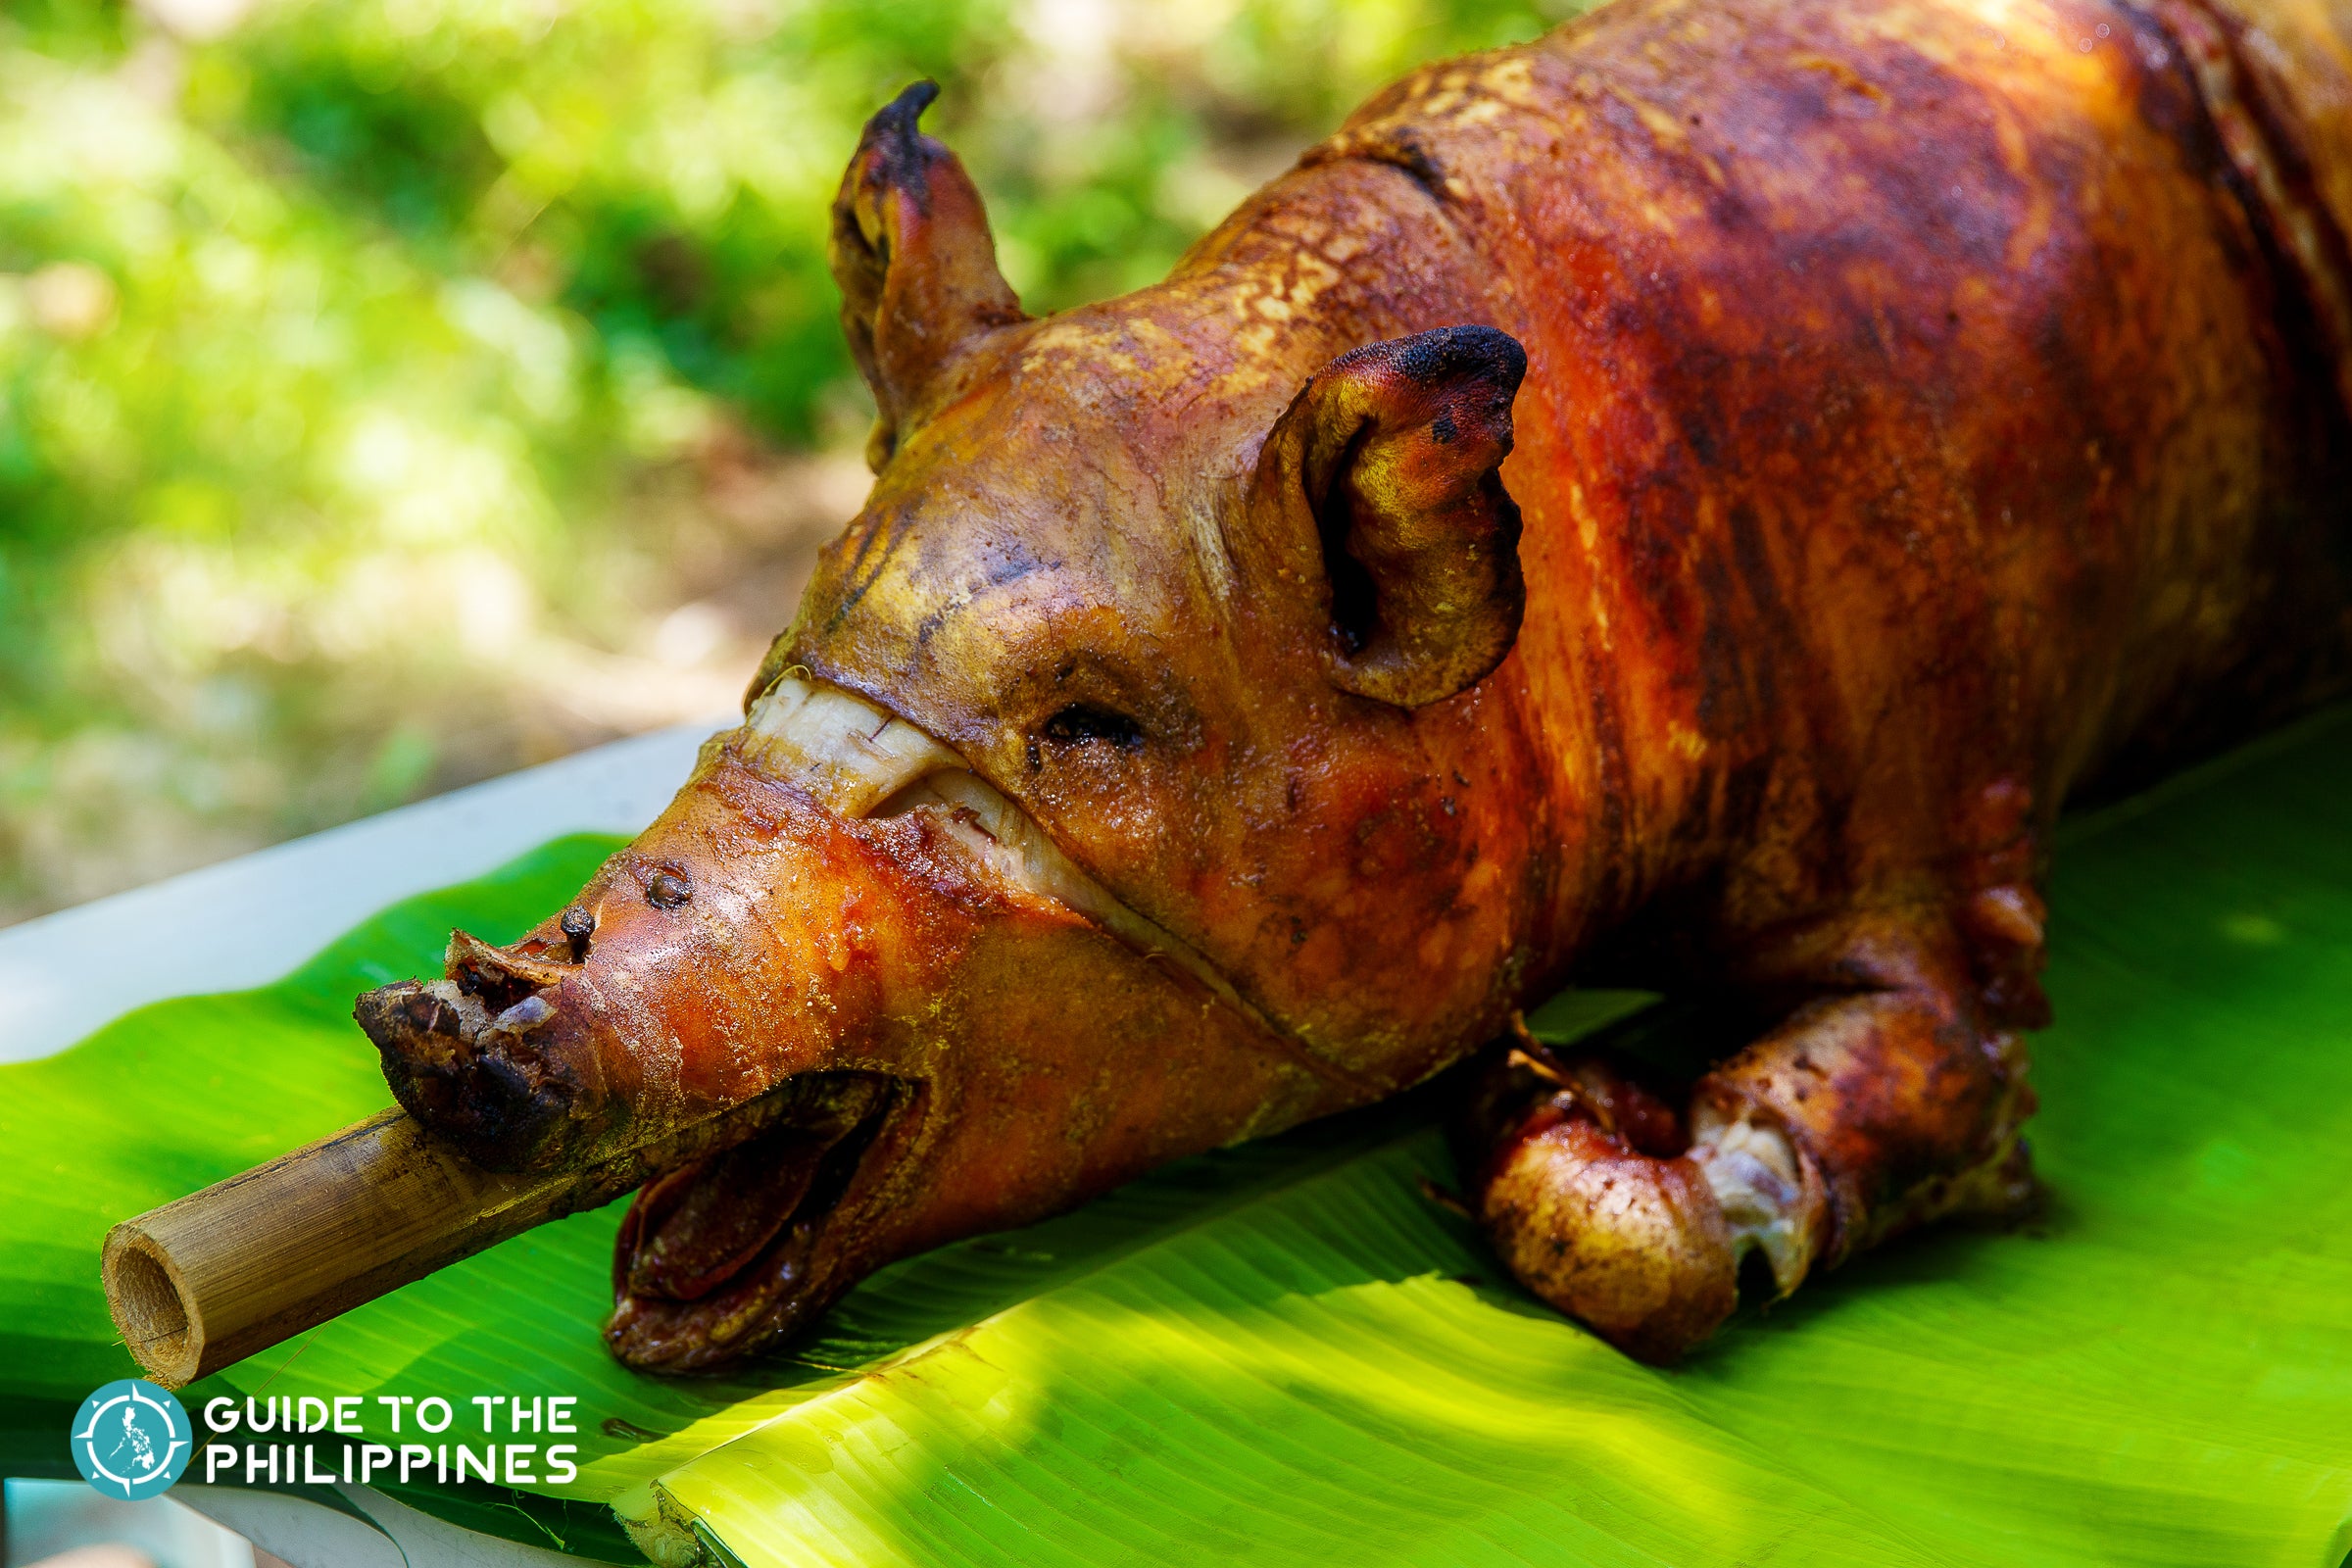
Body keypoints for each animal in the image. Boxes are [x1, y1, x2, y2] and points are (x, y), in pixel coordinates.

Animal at [357, 0, 2352, 1370]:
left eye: (1089, 728)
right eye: (795, 634)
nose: (455, 1018)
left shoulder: (1949, 797)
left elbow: (1885, 1105)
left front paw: (1552, 1096)